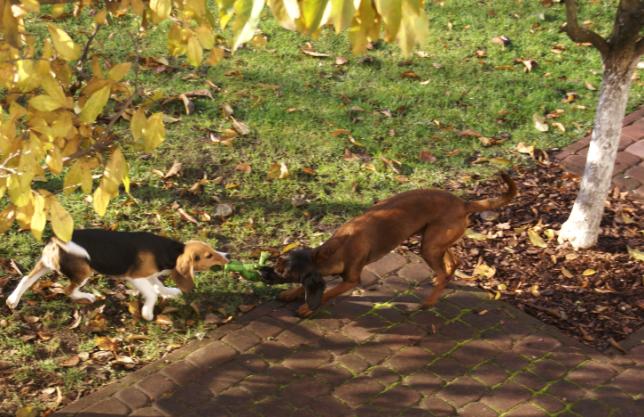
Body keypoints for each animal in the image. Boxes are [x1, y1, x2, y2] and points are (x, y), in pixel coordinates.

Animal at [272, 173, 520, 316]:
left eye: (283, 273)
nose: (268, 270)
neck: (332, 249)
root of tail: (464, 203)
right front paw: (291, 294)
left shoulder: (351, 280)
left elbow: (327, 293)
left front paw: (306, 307)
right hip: (435, 241)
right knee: (453, 262)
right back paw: (441, 279)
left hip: (429, 246)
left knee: (443, 271)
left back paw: (429, 302)